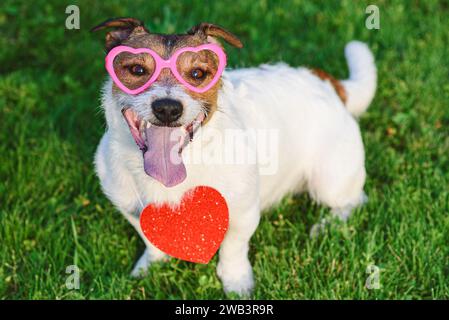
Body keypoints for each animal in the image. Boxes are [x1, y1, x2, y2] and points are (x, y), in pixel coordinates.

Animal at [93, 17, 376, 296]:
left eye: (197, 74)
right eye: (137, 70)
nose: (167, 109)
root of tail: (325, 82)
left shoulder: (243, 214)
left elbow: (233, 248)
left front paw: (236, 281)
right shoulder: (131, 209)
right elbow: (151, 242)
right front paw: (149, 266)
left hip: (329, 181)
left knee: (354, 200)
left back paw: (327, 225)